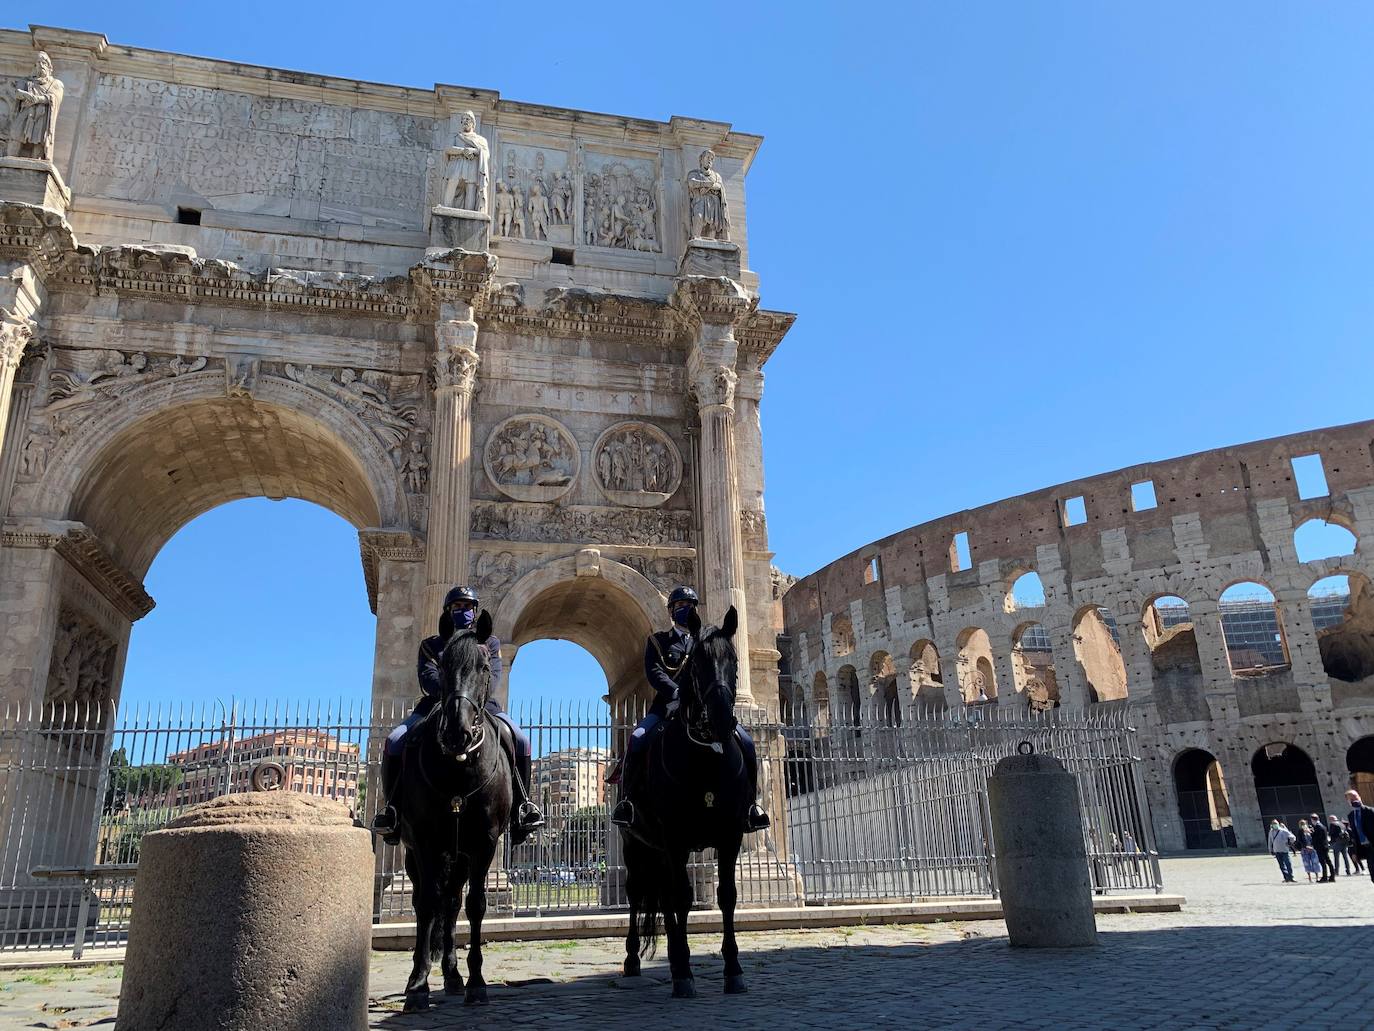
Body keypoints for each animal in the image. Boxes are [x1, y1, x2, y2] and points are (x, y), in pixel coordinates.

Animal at [392, 613, 511, 1011]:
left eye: (486, 666)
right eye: (442, 666)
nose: (458, 731)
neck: (460, 765)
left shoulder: (484, 842)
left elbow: (474, 904)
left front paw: (476, 983)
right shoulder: (424, 842)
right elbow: (428, 904)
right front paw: (418, 986)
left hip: (459, 856)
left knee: (453, 900)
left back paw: (454, 975)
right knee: (428, 901)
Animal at [621, 604, 752, 1000]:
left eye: (735, 660)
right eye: (696, 665)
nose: (723, 718)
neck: (706, 759)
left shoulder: (730, 836)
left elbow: (727, 896)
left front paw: (733, 970)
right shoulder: (673, 838)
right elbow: (679, 899)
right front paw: (683, 975)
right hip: (637, 845)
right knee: (640, 895)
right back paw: (636, 961)